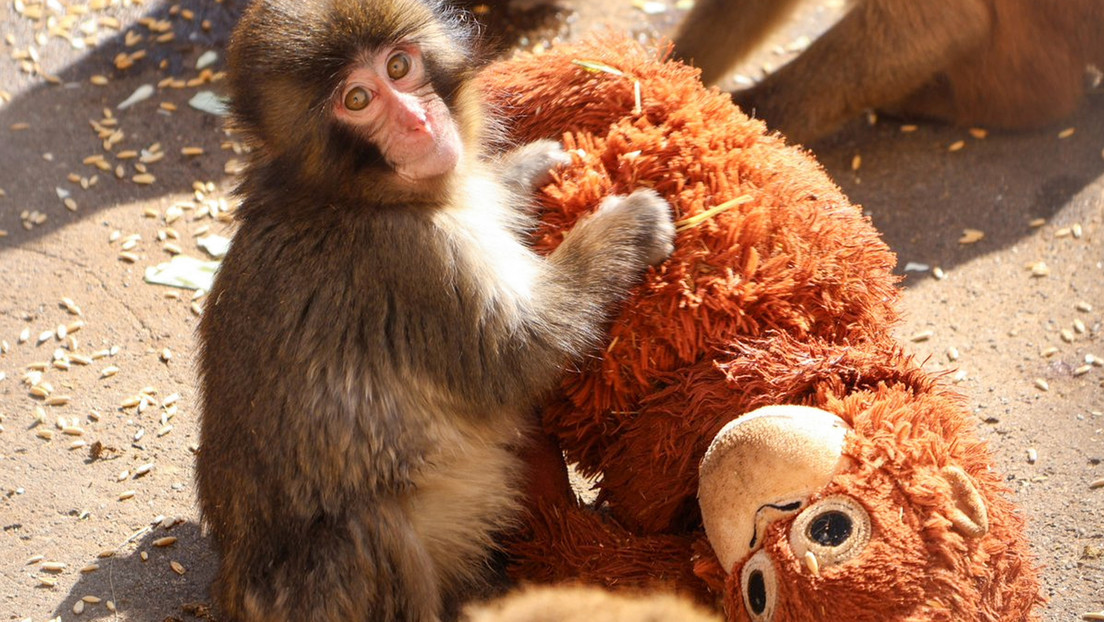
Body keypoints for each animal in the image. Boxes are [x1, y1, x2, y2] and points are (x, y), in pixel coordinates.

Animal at [193, 1, 675, 621]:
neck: (348, 196)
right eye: (357, 99)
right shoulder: (413, 260)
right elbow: (518, 355)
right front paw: (628, 226)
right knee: (369, 529)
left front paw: (526, 166)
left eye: (399, 66)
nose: (418, 123)